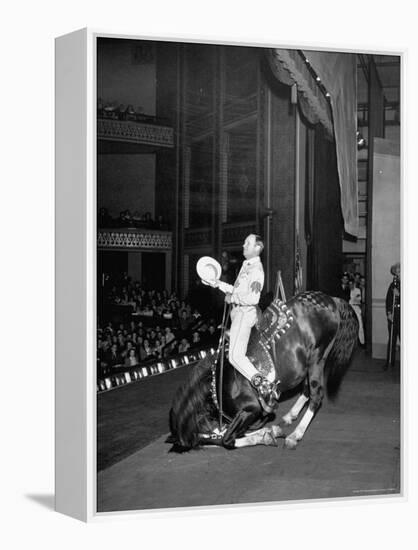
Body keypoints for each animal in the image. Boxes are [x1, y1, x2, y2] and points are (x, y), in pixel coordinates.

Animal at [168, 292, 358, 454]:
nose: (202, 443)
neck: (219, 383)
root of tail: (331, 300)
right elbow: (234, 434)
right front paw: (271, 431)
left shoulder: (250, 409)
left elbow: (227, 439)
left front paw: (267, 435)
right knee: (307, 389)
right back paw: (289, 416)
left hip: (318, 357)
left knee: (316, 394)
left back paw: (295, 435)